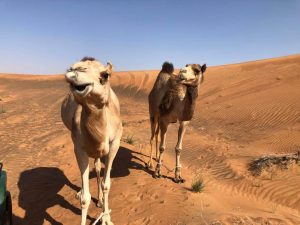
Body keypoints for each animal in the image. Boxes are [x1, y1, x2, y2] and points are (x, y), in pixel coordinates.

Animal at [60, 57, 122, 225]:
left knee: (98, 167)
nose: (74, 70)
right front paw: (83, 194)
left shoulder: (115, 144)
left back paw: (100, 200)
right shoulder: (79, 148)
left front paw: (106, 217)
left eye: (105, 75)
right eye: (71, 68)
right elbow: (85, 198)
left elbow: (107, 184)